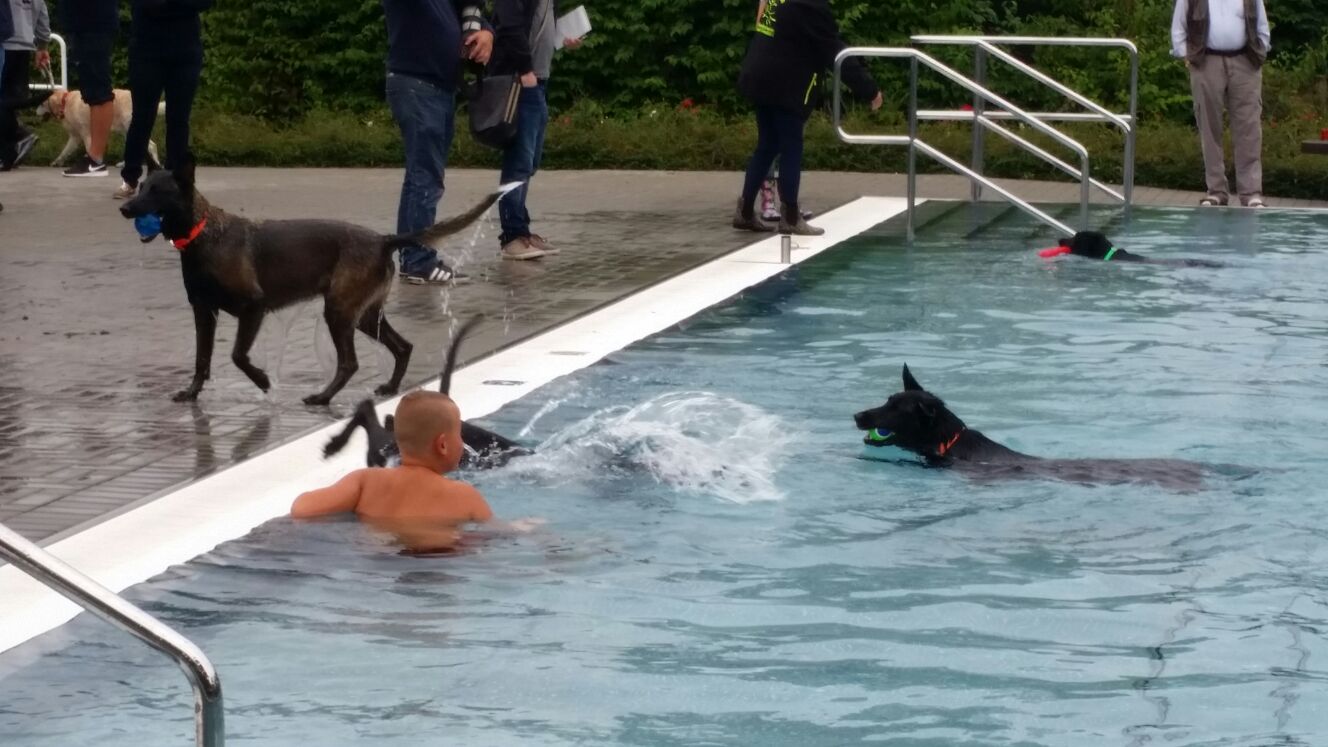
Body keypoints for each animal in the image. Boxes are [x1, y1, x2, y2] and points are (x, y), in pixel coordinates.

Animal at [119, 158, 504, 405]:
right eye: (141, 186)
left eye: (158, 190)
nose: (125, 209)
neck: (202, 233)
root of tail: (383, 239)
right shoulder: (203, 312)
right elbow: (202, 359)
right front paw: (192, 393)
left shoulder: (253, 307)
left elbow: (238, 355)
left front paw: (263, 381)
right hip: (363, 314)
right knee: (402, 346)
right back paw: (389, 388)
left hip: (339, 311)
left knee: (350, 363)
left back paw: (323, 397)